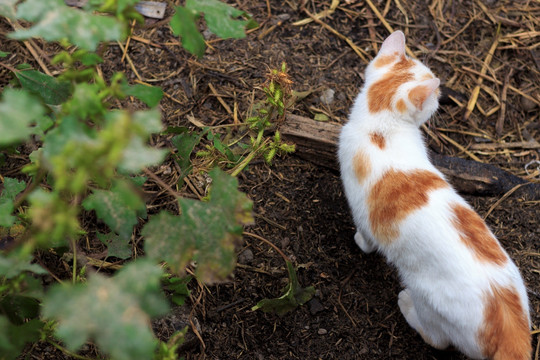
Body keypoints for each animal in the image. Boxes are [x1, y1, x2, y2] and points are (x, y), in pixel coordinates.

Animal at [338, 31, 532, 360]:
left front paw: (361, 243)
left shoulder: (361, 210)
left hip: (429, 303)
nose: (441, 94)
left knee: (436, 339)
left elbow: (365, 236)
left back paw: (406, 305)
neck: (380, 125)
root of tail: (511, 333)